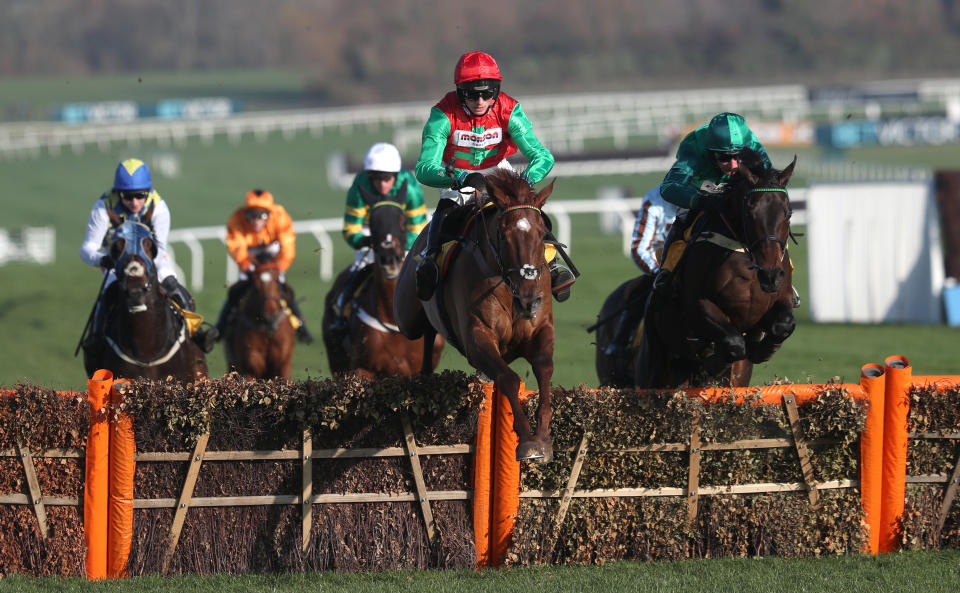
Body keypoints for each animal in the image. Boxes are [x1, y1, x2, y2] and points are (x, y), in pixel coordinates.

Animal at [322, 190, 442, 376]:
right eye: (372, 221)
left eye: (402, 220)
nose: (390, 258)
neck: (393, 322)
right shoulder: (362, 368)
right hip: (337, 361)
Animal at [392, 169, 556, 460]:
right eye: (502, 234)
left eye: (541, 231)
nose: (528, 299)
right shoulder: (477, 337)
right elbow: (509, 378)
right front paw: (527, 440)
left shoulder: (540, 328)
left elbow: (544, 367)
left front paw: (543, 439)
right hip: (406, 315)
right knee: (419, 329)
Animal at [632, 150, 800, 386]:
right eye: (749, 212)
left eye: (788, 213)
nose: (770, 276)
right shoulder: (698, 304)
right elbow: (733, 342)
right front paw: (713, 360)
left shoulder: (781, 298)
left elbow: (782, 325)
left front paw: (760, 349)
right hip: (654, 364)